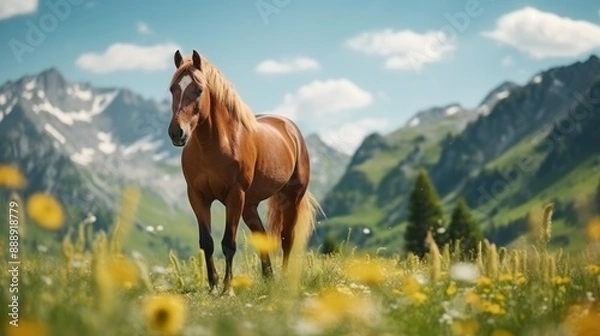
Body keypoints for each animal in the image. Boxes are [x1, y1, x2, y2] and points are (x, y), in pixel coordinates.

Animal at [166, 49, 322, 294]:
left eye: (199, 89)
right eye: (173, 88)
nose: (176, 133)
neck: (212, 145)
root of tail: (290, 128)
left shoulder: (234, 195)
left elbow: (228, 243)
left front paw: (227, 289)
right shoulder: (197, 196)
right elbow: (206, 242)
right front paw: (213, 286)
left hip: (290, 197)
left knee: (287, 237)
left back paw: (284, 280)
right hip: (250, 205)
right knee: (263, 236)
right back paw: (268, 278)